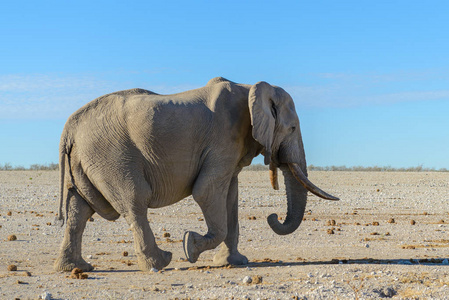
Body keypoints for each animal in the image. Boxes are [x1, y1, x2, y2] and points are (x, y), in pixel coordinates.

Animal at [54, 77, 338, 272]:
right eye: (292, 128)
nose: (273, 216)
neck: (251, 88)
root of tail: (69, 127)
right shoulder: (223, 138)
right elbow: (206, 191)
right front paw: (190, 246)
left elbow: (230, 197)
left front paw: (234, 262)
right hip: (111, 156)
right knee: (134, 201)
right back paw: (161, 262)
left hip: (86, 160)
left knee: (80, 209)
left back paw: (76, 268)